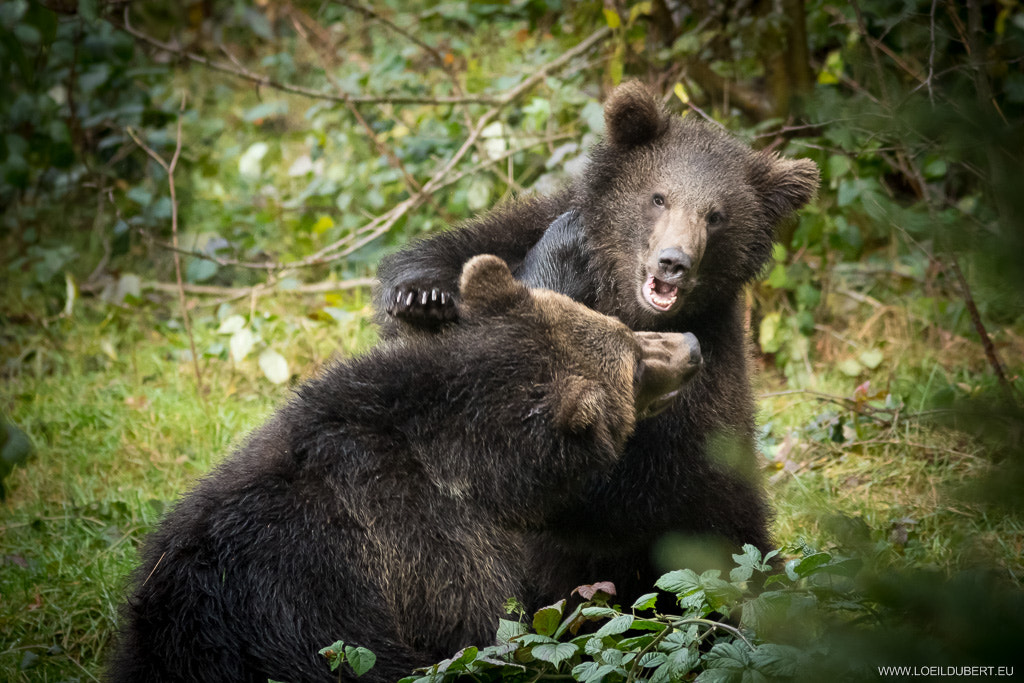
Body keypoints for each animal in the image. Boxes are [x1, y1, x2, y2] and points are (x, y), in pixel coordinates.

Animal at [372, 78, 819, 602]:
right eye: (659, 197)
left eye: (716, 216)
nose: (673, 262)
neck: (619, 294)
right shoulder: (525, 228)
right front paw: (422, 295)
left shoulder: (703, 378)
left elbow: (610, 473)